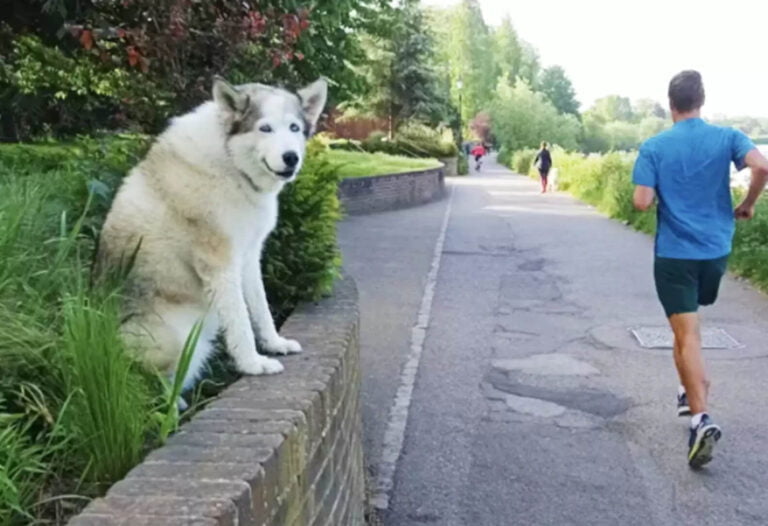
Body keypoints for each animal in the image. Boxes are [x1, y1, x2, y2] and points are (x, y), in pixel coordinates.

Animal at [96, 78, 328, 392]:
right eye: (265, 128)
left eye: (294, 128)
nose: (291, 158)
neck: (231, 164)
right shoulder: (220, 264)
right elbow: (240, 322)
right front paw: (253, 363)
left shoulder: (249, 257)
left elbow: (261, 309)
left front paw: (274, 343)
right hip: (179, 340)